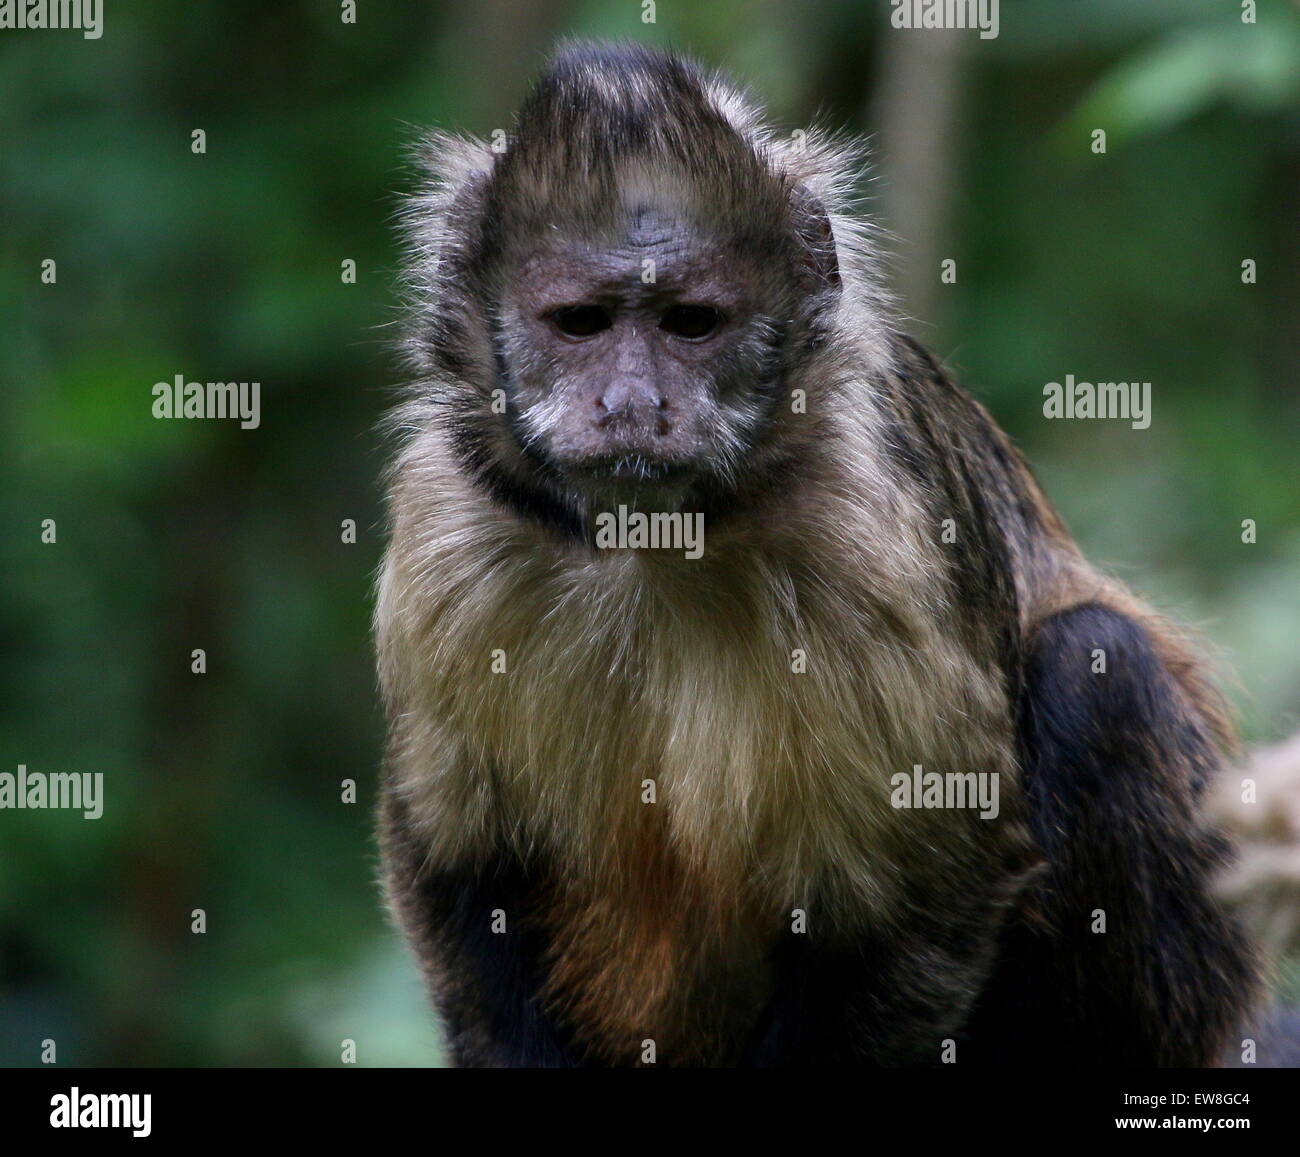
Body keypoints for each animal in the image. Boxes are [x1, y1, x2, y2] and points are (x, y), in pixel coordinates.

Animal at [374, 42, 1259, 1068]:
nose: (632, 405)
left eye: (690, 322)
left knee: (1096, 660)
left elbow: (927, 891)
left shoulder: (868, 536)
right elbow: (449, 854)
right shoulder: (449, 516)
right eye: (581, 321)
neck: (658, 539)